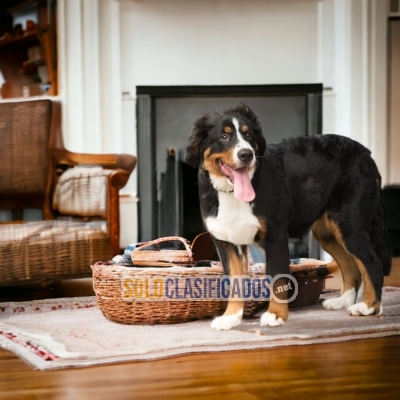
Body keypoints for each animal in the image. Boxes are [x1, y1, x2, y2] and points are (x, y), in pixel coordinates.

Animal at [187, 103, 390, 332]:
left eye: (249, 135)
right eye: (223, 136)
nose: (247, 154)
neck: (232, 193)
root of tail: (366, 153)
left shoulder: (275, 236)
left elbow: (277, 277)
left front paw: (276, 315)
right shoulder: (227, 242)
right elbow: (235, 282)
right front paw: (231, 317)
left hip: (349, 225)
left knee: (372, 263)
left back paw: (368, 307)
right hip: (328, 233)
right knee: (350, 265)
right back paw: (343, 301)